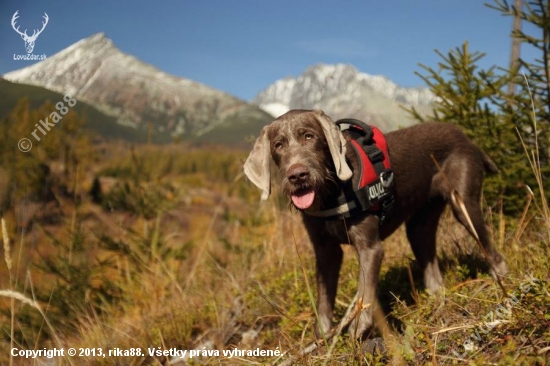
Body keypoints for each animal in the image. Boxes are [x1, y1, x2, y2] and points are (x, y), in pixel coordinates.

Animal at [244, 109, 512, 340]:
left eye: (309, 136)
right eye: (278, 145)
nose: (298, 176)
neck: (332, 192)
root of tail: (466, 137)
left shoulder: (370, 248)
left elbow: (366, 291)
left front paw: (359, 328)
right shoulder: (325, 250)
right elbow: (324, 299)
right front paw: (324, 337)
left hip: (463, 205)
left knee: (493, 253)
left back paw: (503, 286)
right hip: (419, 225)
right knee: (432, 269)